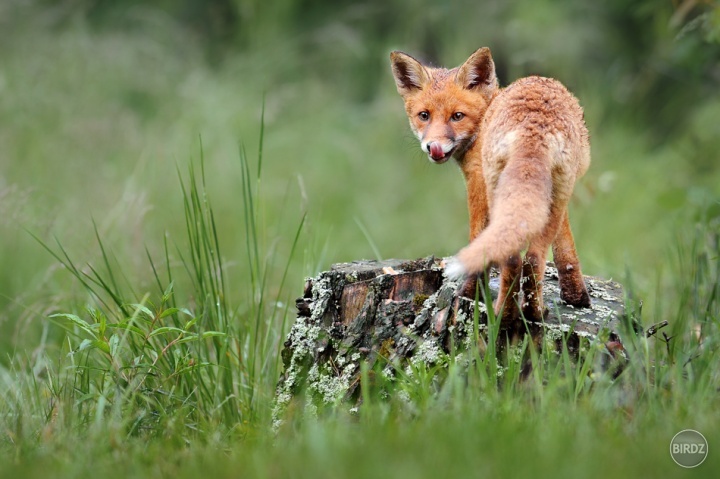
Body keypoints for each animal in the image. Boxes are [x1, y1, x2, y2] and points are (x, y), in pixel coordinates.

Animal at [394, 47, 592, 322]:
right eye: (424, 116)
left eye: (457, 116)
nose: (433, 147)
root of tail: (534, 126)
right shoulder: (554, 194)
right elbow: (566, 248)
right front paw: (577, 297)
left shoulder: (477, 181)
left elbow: (479, 240)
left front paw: (470, 291)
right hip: (554, 189)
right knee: (532, 259)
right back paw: (532, 313)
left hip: (496, 188)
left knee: (511, 258)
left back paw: (502, 314)